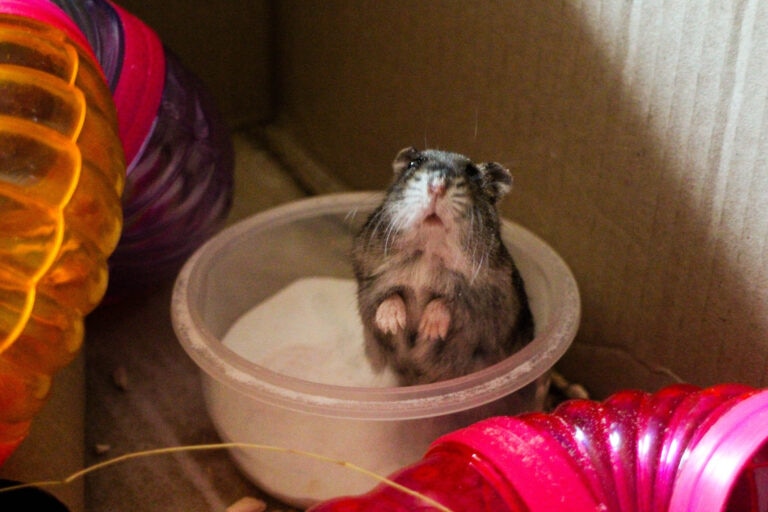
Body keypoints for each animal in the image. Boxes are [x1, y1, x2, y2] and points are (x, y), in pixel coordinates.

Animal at [352, 147, 534, 386]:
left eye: (472, 172)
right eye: (413, 163)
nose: (437, 186)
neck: (429, 252)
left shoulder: (484, 303)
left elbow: (445, 302)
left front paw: (429, 330)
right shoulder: (370, 279)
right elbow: (389, 296)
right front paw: (392, 324)